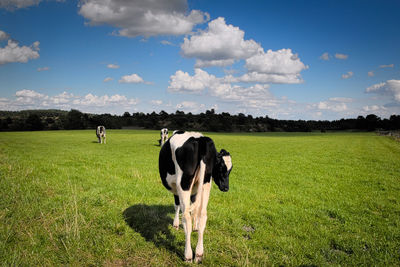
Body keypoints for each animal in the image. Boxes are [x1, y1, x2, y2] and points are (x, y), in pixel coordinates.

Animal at [159, 131, 233, 262]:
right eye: (221, 167)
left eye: (230, 169)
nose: (226, 188)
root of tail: (201, 139)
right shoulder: (196, 188)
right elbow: (194, 207)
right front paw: (196, 226)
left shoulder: (177, 188)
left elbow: (178, 205)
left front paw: (176, 224)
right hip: (206, 182)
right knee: (203, 214)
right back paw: (199, 253)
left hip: (184, 183)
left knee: (186, 217)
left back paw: (188, 255)